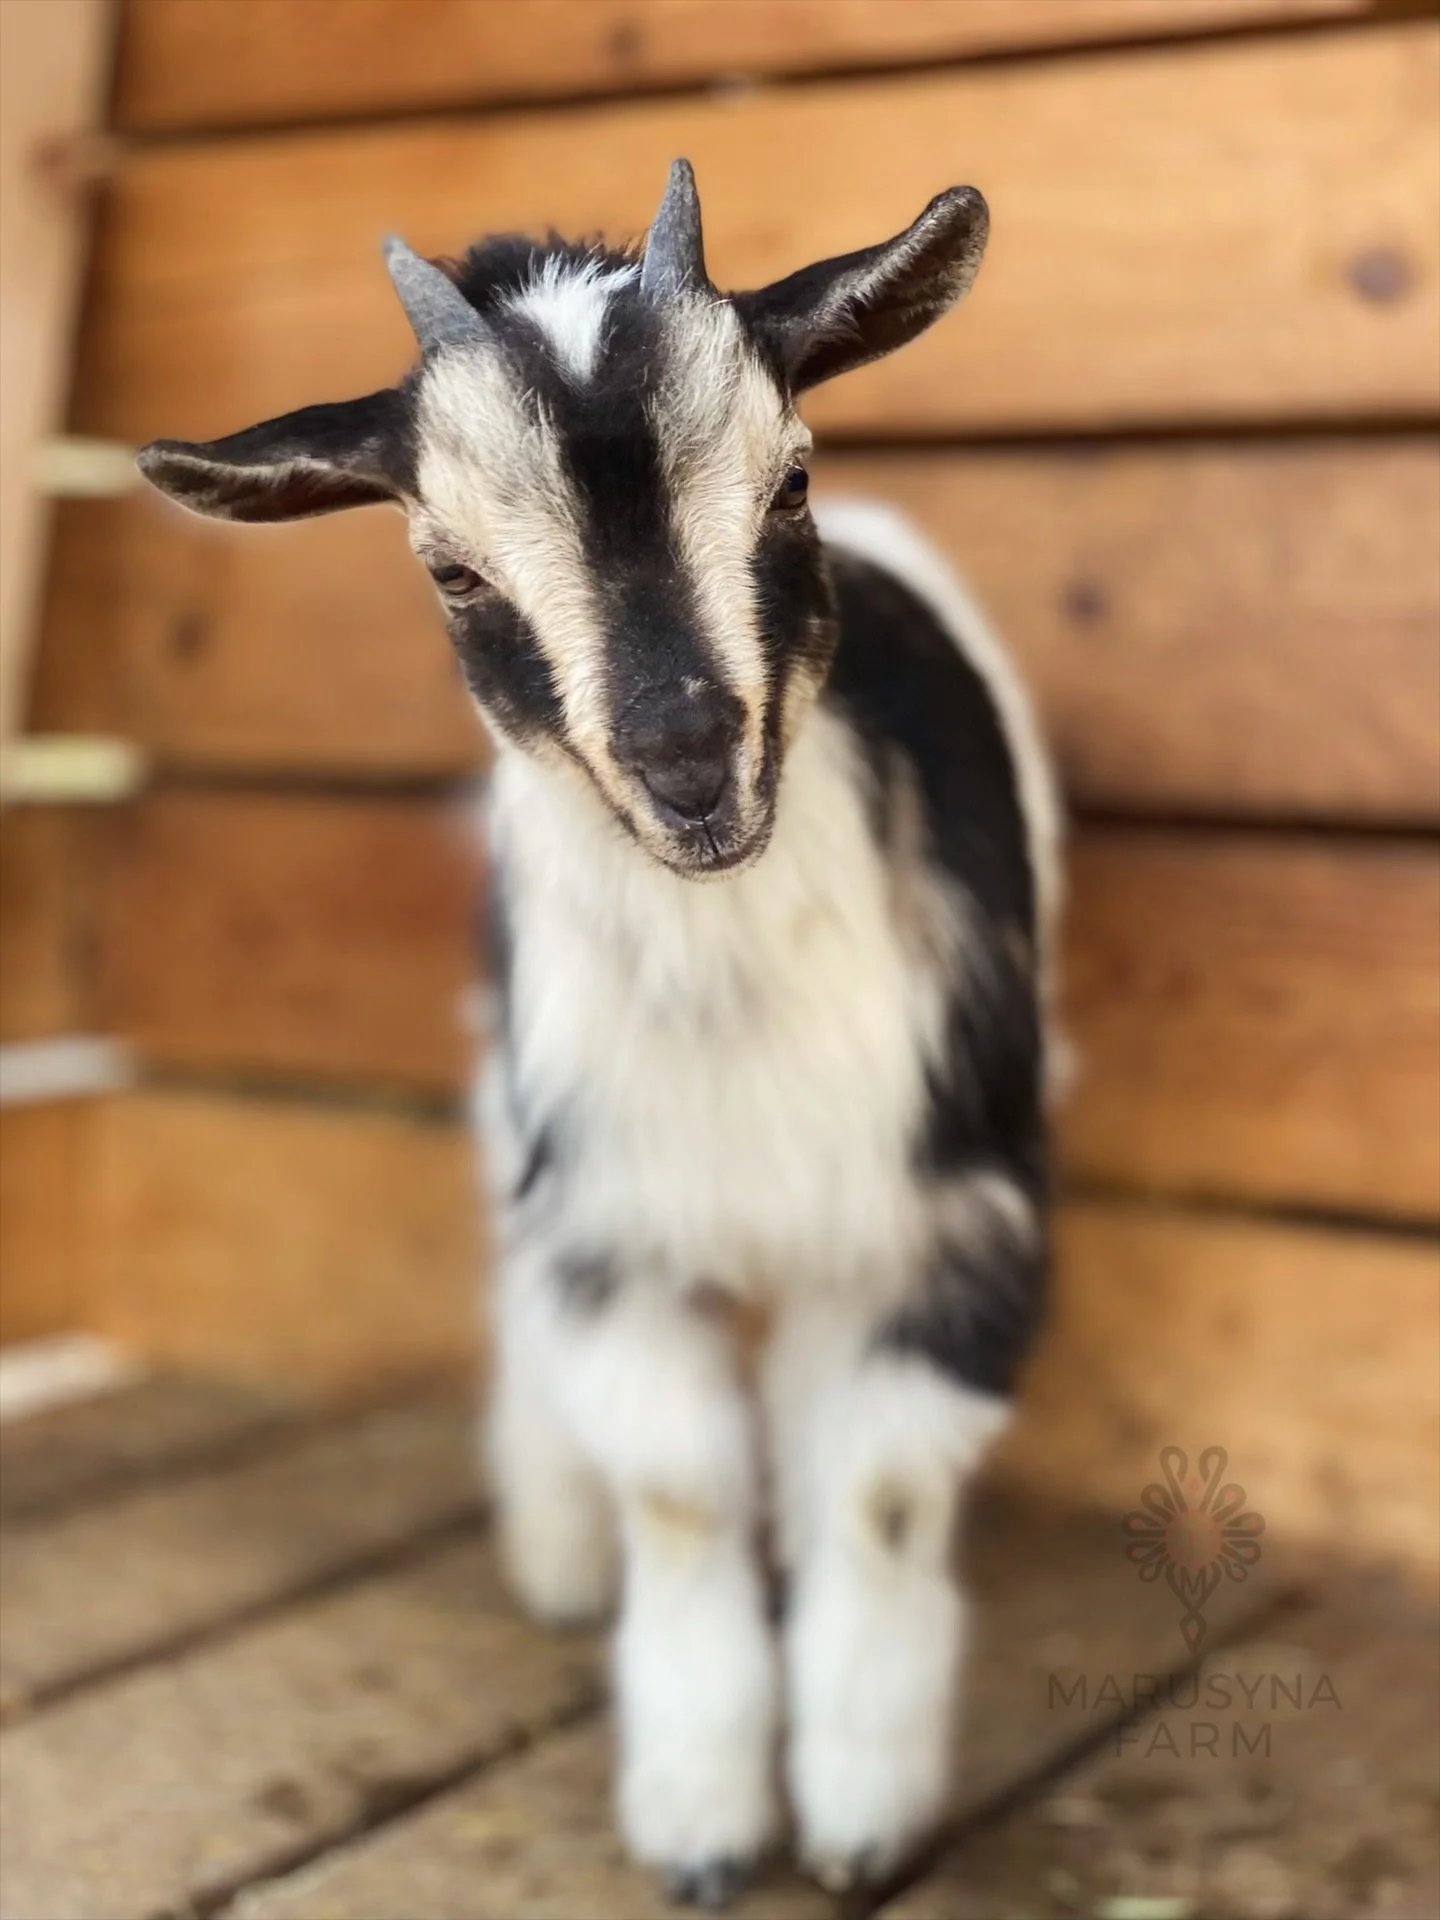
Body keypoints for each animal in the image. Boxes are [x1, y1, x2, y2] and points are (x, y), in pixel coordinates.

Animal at [137, 160, 1060, 1907]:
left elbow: (880, 1487)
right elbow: (679, 1494)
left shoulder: (947, 1192)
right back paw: (558, 1548)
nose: (691, 769)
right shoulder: (606, 1214)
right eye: (450, 570)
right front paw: (702, 1816)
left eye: (790, 481)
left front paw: (859, 1806)